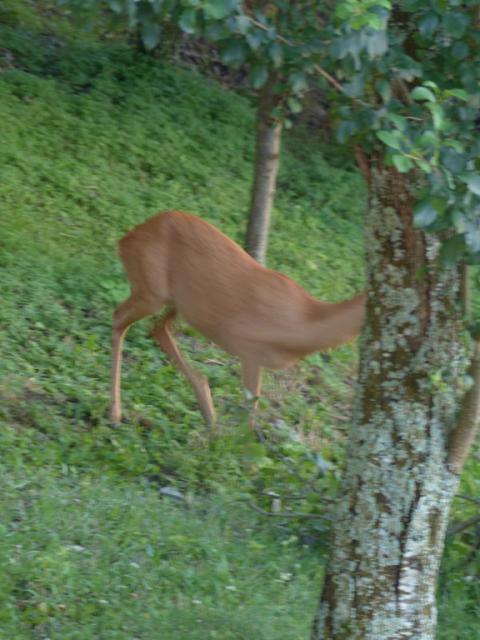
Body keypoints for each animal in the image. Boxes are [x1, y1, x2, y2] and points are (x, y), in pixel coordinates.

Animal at [109, 210, 364, 428]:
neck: (302, 322)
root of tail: (125, 240)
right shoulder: (248, 348)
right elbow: (249, 415)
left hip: (181, 304)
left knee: (158, 328)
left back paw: (208, 412)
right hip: (151, 290)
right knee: (119, 317)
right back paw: (115, 413)